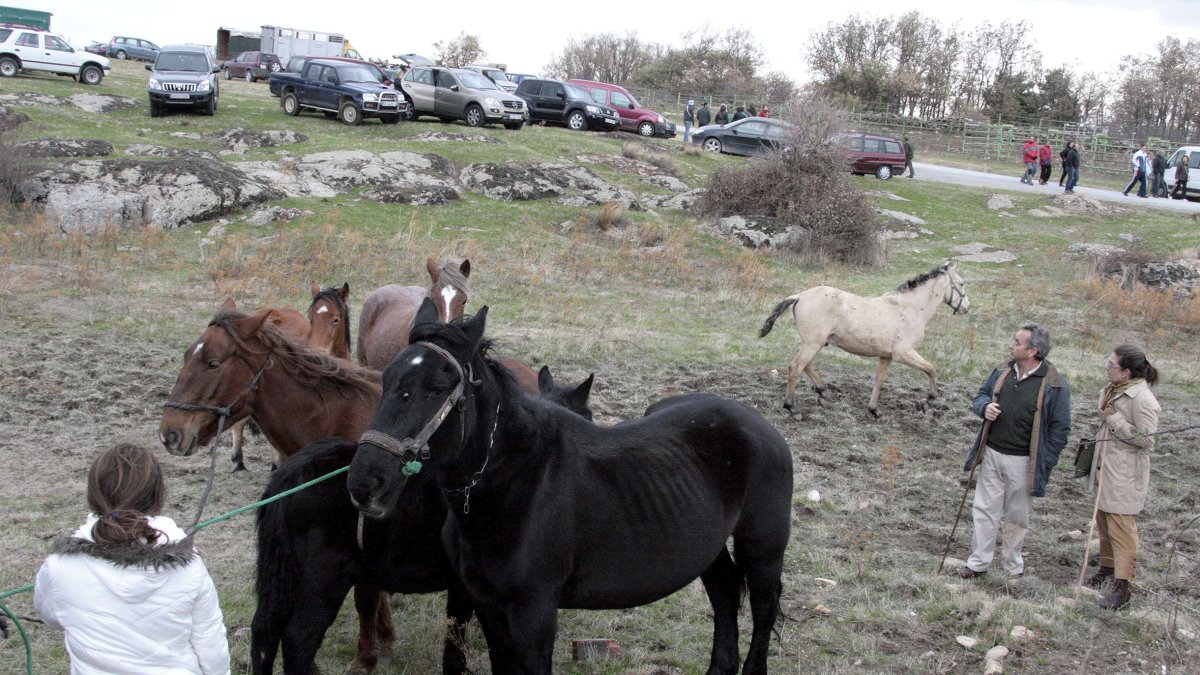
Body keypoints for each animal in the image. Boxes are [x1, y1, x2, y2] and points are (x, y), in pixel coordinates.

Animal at [252, 367, 596, 675]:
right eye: (589, 417)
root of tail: (289, 474)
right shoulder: (467, 586)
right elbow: (456, 635)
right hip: (321, 582)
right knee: (299, 639)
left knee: (264, 634)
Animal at [347, 299, 793, 675]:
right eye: (386, 378)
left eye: (436, 390)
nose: (365, 481)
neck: (514, 487)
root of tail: (762, 424)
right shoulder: (488, 604)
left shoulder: (535, 612)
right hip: (707, 547)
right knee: (725, 594)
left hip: (763, 545)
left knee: (762, 610)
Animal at [758, 260, 970, 419]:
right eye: (961, 284)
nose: (966, 308)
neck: (911, 308)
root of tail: (800, 296)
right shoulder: (904, 353)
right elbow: (931, 369)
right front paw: (927, 402)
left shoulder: (887, 356)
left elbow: (879, 381)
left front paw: (874, 410)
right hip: (813, 343)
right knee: (796, 367)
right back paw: (792, 408)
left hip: (815, 343)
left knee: (804, 365)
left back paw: (823, 391)